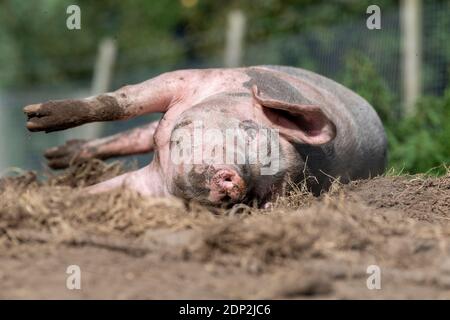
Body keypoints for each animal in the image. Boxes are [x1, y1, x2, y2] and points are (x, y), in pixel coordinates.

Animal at [23, 66, 386, 209]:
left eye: (259, 193)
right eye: (249, 131)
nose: (234, 180)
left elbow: (97, 193)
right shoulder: (190, 78)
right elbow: (119, 103)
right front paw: (35, 118)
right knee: (137, 132)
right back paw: (54, 154)